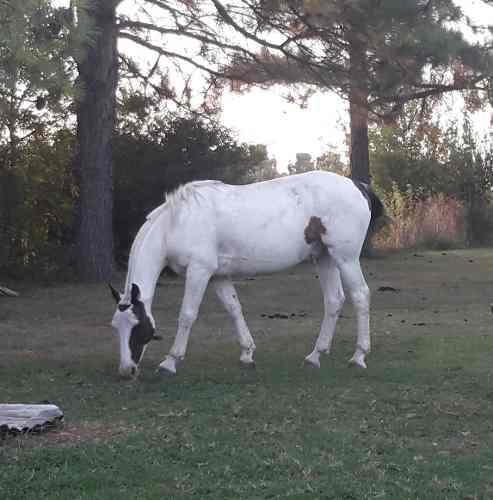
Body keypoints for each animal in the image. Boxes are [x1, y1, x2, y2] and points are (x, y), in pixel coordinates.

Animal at [109, 172, 382, 378]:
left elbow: (187, 315)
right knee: (334, 300)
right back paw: (315, 356)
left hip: (346, 259)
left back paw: (359, 356)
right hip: (324, 257)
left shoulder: (199, 271)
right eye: (116, 326)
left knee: (360, 296)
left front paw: (170, 362)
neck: (177, 223)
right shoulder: (218, 276)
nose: (126, 370)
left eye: (137, 325)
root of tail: (358, 185)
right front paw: (247, 354)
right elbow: (234, 309)